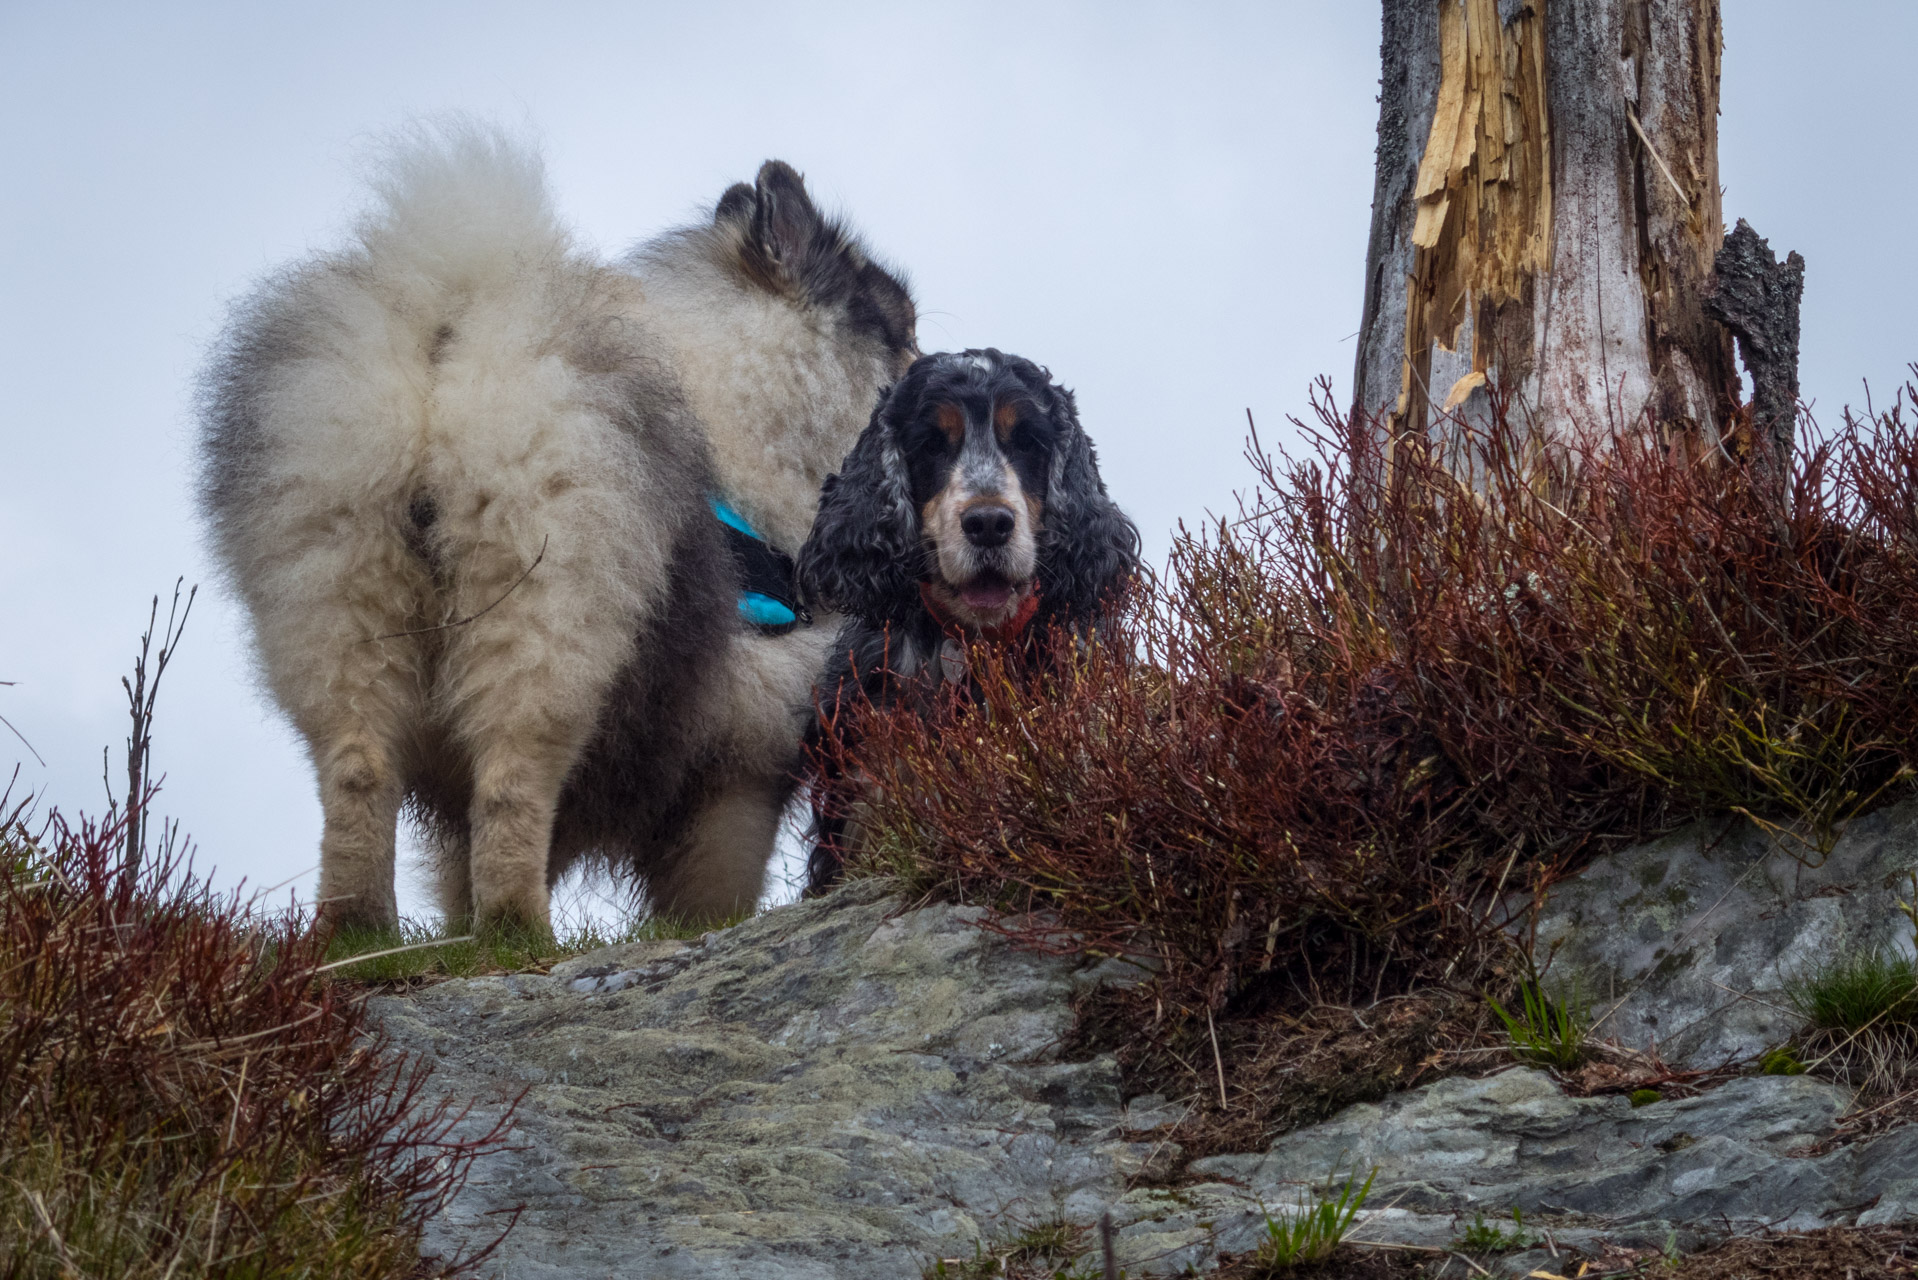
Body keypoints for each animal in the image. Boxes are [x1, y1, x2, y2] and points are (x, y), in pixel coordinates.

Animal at [198, 127, 916, 932]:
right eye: (907, 329)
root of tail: (459, 331)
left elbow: (457, 873)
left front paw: (462, 942)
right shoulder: (739, 770)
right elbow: (714, 894)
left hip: (338, 595)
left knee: (358, 769)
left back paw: (359, 927)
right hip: (551, 620)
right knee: (512, 781)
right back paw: (523, 928)